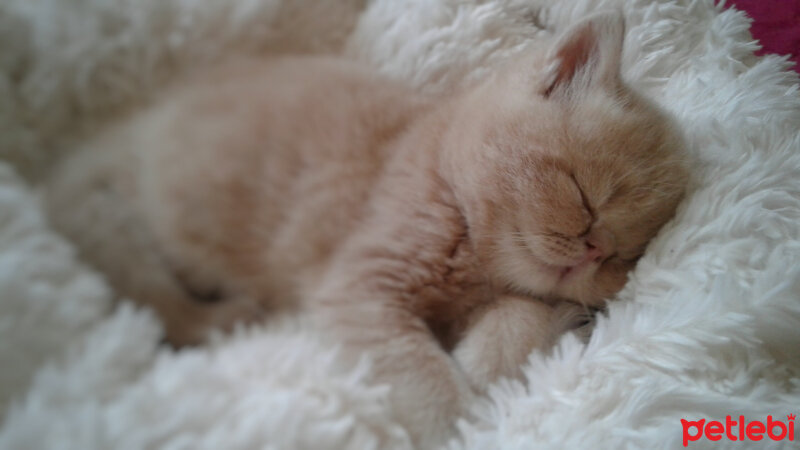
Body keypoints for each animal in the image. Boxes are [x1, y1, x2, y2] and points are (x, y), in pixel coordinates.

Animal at [45, 11, 688, 446]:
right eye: (584, 197)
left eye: (627, 254)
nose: (595, 247)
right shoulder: (362, 286)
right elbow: (428, 383)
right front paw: (469, 423)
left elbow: (518, 319)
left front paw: (498, 353)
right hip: (117, 221)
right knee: (155, 298)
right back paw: (228, 318)